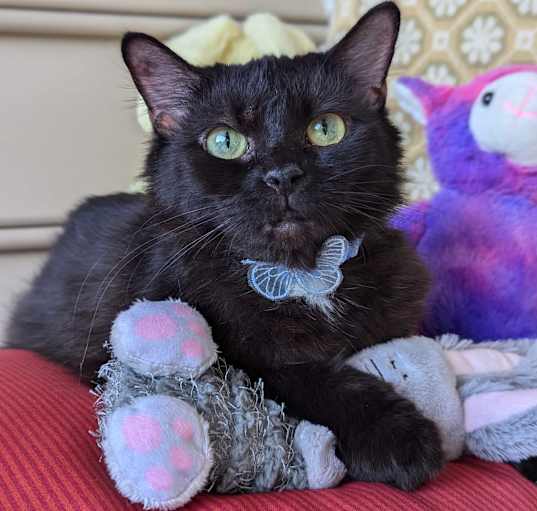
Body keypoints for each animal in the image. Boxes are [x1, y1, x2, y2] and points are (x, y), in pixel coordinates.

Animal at [7, 4, 444, 492]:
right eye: (225, 141)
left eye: (326, 129)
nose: (282, 175)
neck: (302, 273)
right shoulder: (236, 354)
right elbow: (302, 376)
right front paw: (399, 437)